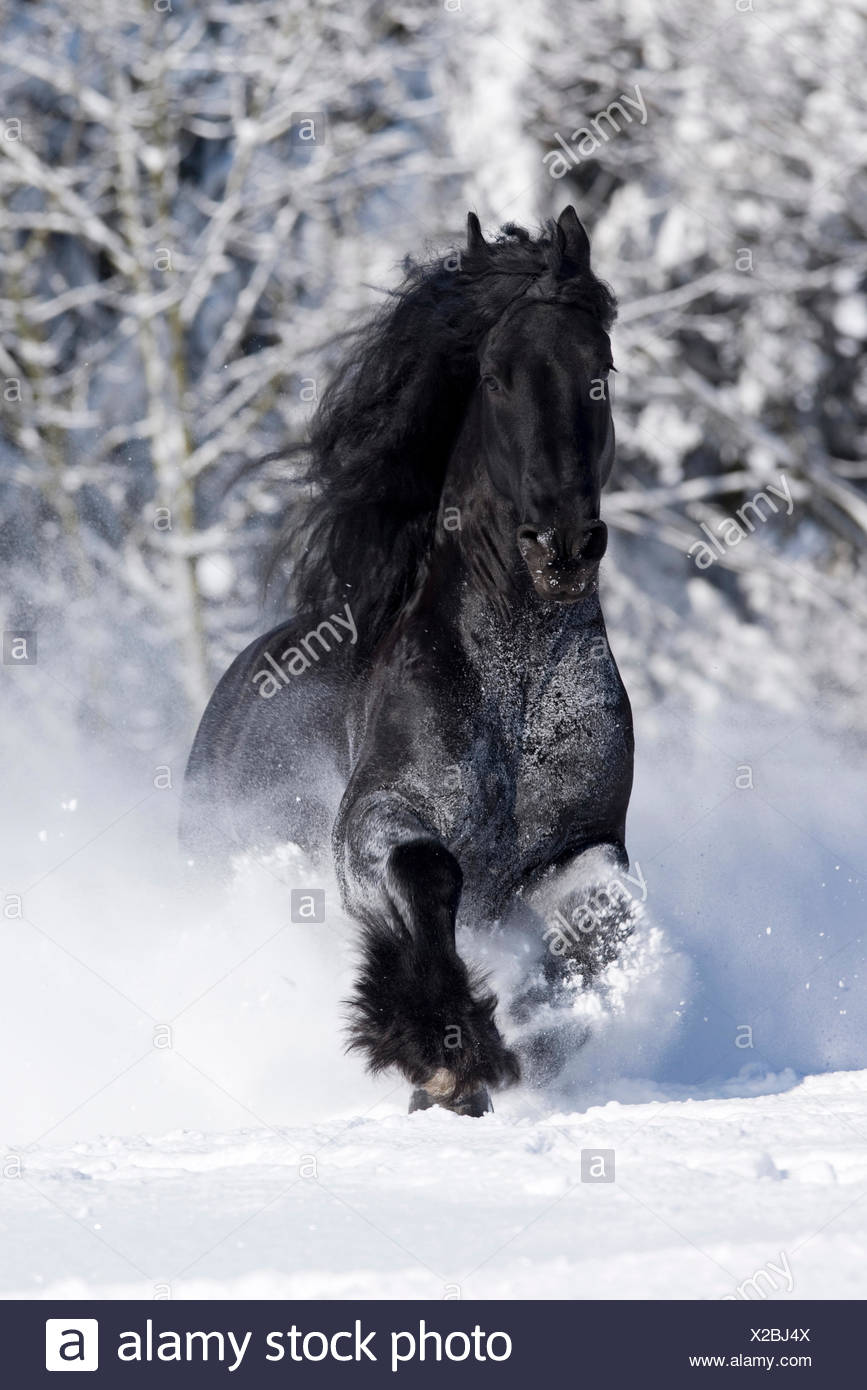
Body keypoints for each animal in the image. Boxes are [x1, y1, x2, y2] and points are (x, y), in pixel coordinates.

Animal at [183, 205, 633, 1117]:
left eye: (600, 369)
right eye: (494, 375)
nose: (562, 547)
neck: (517, 686)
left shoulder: (586, 839)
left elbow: (606, 920)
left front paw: (538, 1028)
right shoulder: (371, 822)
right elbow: (428, 874)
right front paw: (443, 1049)